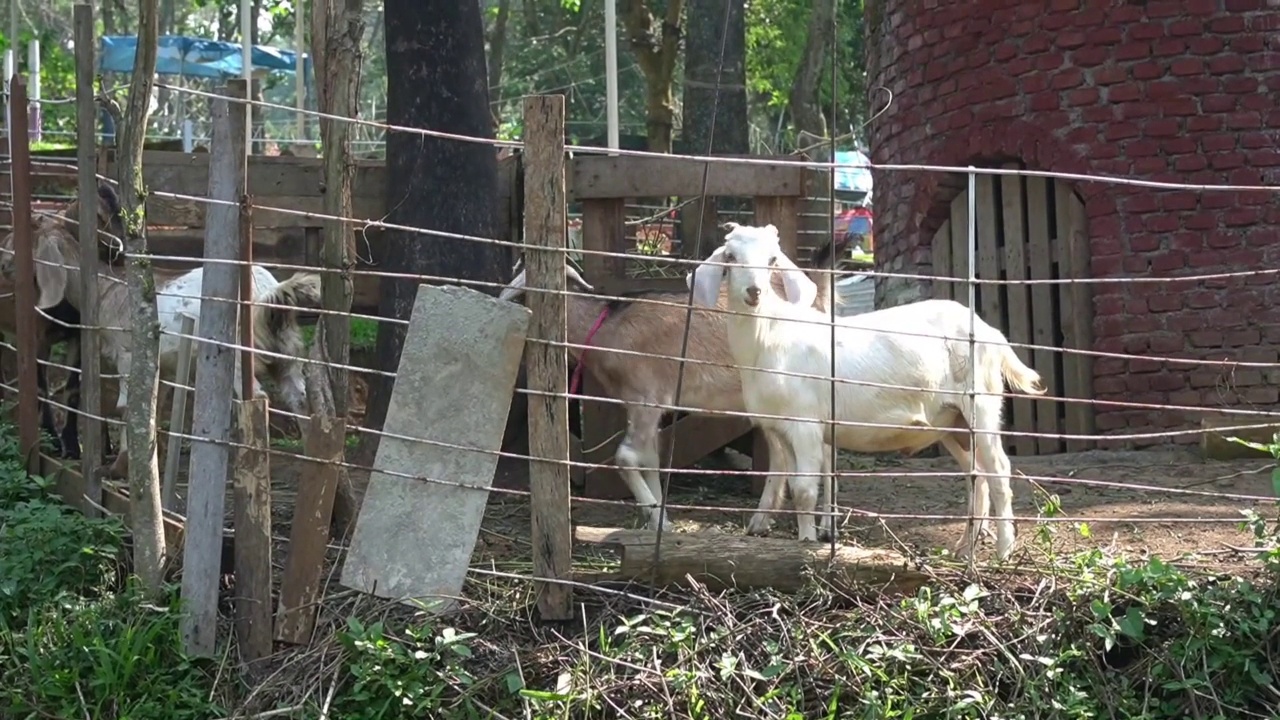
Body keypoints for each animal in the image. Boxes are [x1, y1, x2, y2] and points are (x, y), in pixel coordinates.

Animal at [696, 222, 1044, 556]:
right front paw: (803, 537)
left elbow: (805, 491)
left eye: (771, 260)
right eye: (730, 257)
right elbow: (791, 485)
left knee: (999, 470)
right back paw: (964, 548)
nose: (753, 292)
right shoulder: (778, 429)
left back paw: (1004, 550)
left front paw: (807, 542)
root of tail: (992, 334)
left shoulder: (806, 425)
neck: (770, 336)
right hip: (951, 420)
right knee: (977, 474)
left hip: (981, 404)